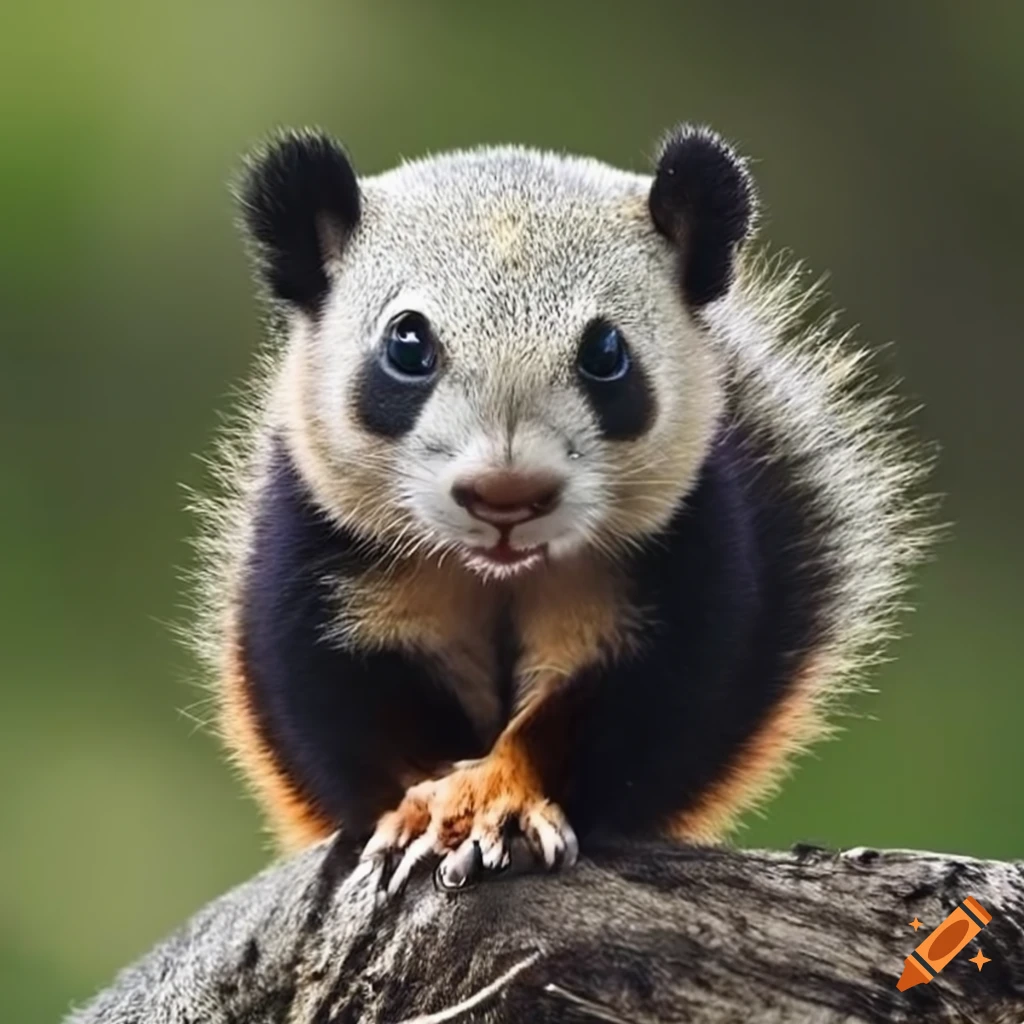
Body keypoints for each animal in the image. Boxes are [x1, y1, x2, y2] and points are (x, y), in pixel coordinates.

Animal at [188, 124, 931, 894]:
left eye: (606, 350)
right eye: (407, 343)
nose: (506, 496)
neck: (500, 571)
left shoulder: (675, 554)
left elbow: (629, 702)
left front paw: (496, 801)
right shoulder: (323, 547)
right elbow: (348, 696)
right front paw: (432, 811)